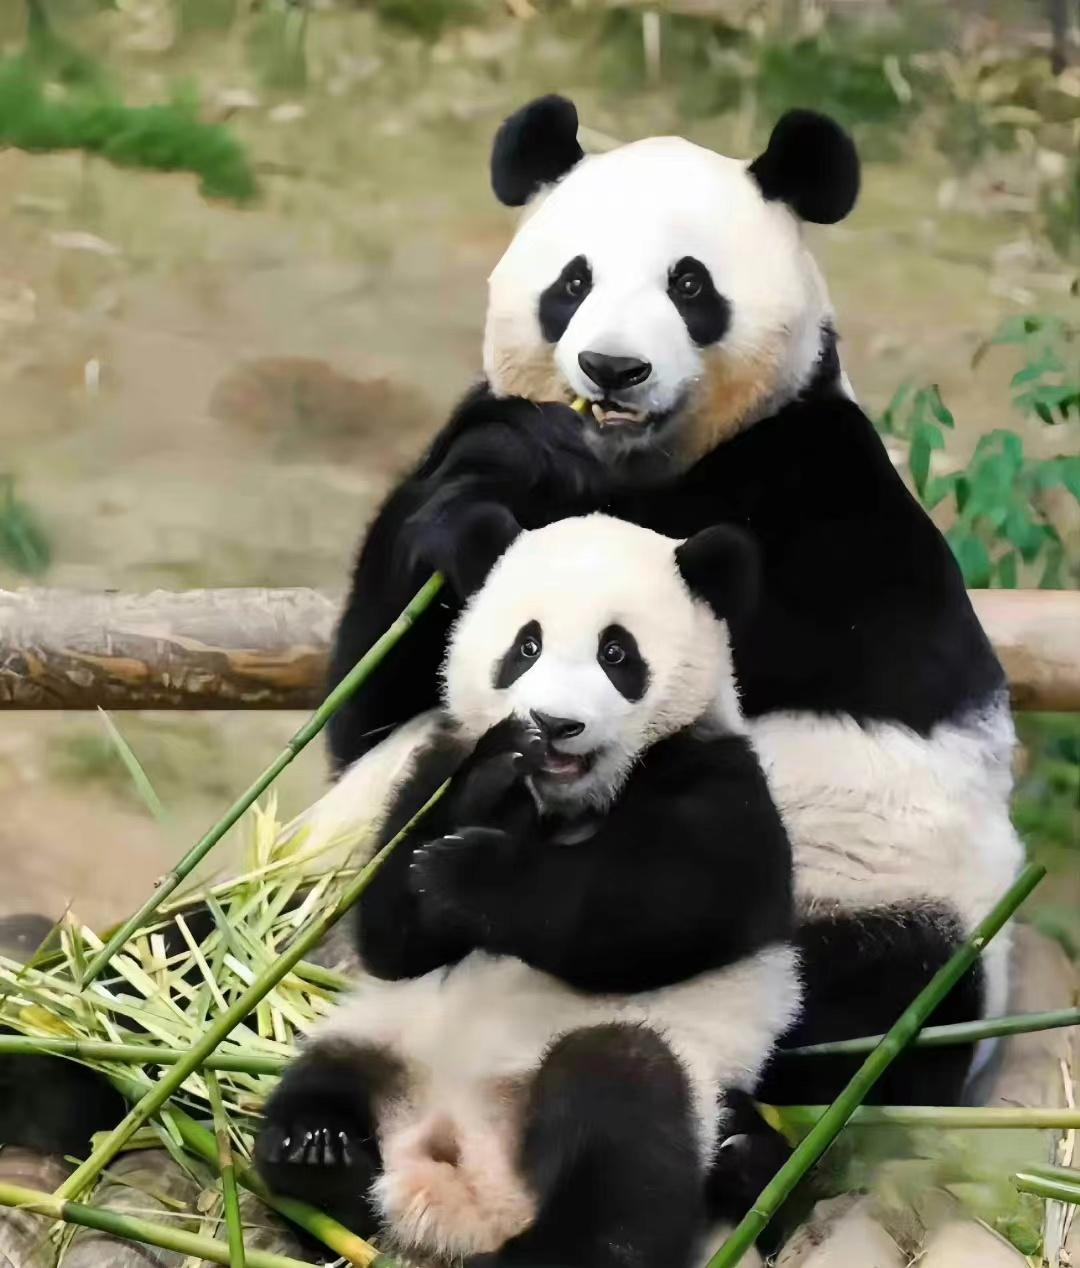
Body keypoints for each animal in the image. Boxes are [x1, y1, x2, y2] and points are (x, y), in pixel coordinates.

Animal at [257, 512, 800, 1268]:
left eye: (616, 652)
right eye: (527, 645)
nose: (554, 724)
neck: (566, 803)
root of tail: (464, 1187)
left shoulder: (723, 783)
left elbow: (656, 909)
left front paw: (469, 872)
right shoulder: (434, 762)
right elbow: (390, 936)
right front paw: (491, 783)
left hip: (653, 1072)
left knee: (626, 1122)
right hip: (381, 1037)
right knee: (322, 1081)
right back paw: (319, 1152)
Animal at [317, 97, 1024, 1114]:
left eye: (690, 284)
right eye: (573, 280)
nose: (612, 369)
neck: (640, 465)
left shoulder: (827, 497)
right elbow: (369, 702)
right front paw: (486, 494)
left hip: (888, 905)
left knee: (877, 999)